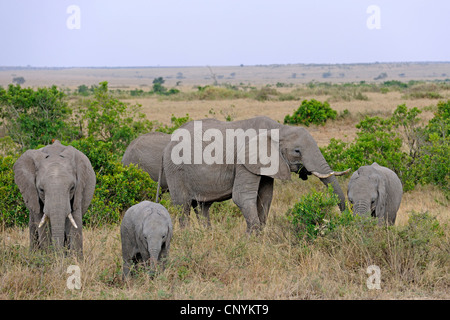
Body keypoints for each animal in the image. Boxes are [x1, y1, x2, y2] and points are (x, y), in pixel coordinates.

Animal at [163, 116, 350, 231]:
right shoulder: (245, 162)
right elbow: (242, 197)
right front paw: (250, 241)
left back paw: (207, 235)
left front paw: (258, 237)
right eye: (297, 151)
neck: (279, 128)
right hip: (175, 169)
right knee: (183, 206)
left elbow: (265, 197)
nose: (344, 217)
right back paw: (189, 236)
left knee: (202, 207)